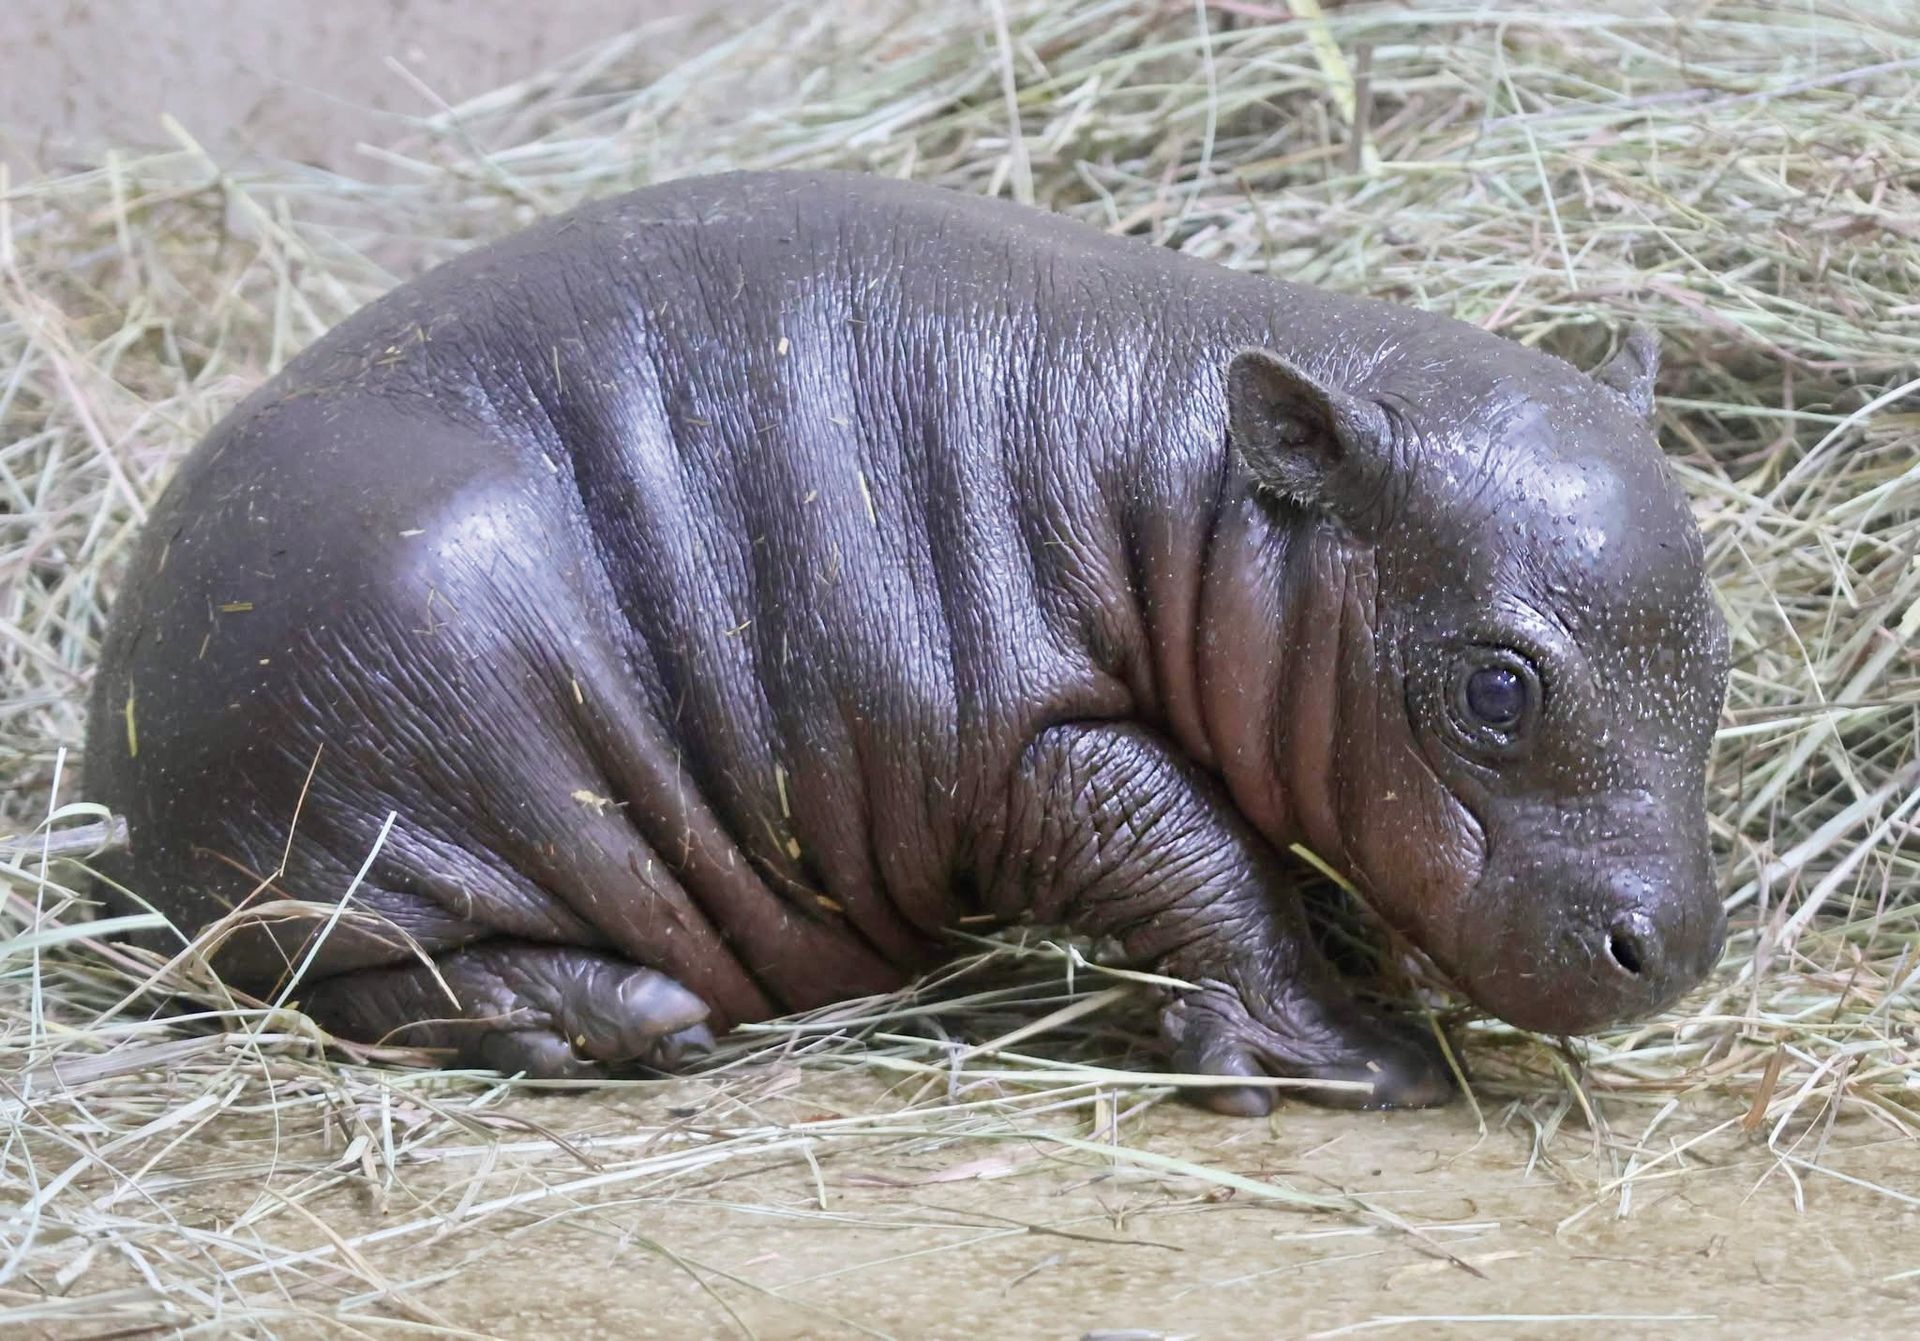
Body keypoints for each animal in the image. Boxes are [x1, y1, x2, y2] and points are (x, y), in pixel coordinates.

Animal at [84, 170, 1729, 1113]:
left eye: (1719, 652)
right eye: (1496, 685)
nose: (1681, 948)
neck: (1191, 484)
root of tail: (108, 720)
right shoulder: (1024, 745)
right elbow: (1197, 856)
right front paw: (1368, 1061)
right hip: (401, 735)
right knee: (358, 985)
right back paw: (630, 1026)